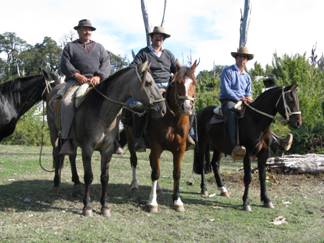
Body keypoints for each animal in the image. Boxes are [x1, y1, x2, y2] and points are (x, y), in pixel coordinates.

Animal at [46, 62, 166, 216]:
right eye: (148, 83)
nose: (163, 109)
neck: (101, 114)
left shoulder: (107, 150)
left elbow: (104, 177)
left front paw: (104, 206)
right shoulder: (87, 148)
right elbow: (89, 176)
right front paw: (87, 207)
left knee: (71, 157)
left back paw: (76, 184)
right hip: (54, 133)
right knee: (57, 154)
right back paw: (56, 183)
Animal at [125, 60, 199, 213]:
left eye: (194, 82)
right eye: (177, 82)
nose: (187, 107)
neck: (172, 120)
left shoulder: (180, 150)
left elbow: (176, 173)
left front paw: (177, 201)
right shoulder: (156, 147)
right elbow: (156, 173)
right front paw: (152, 203)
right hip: (130, 141)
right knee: (134, 160)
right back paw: (134, 184)